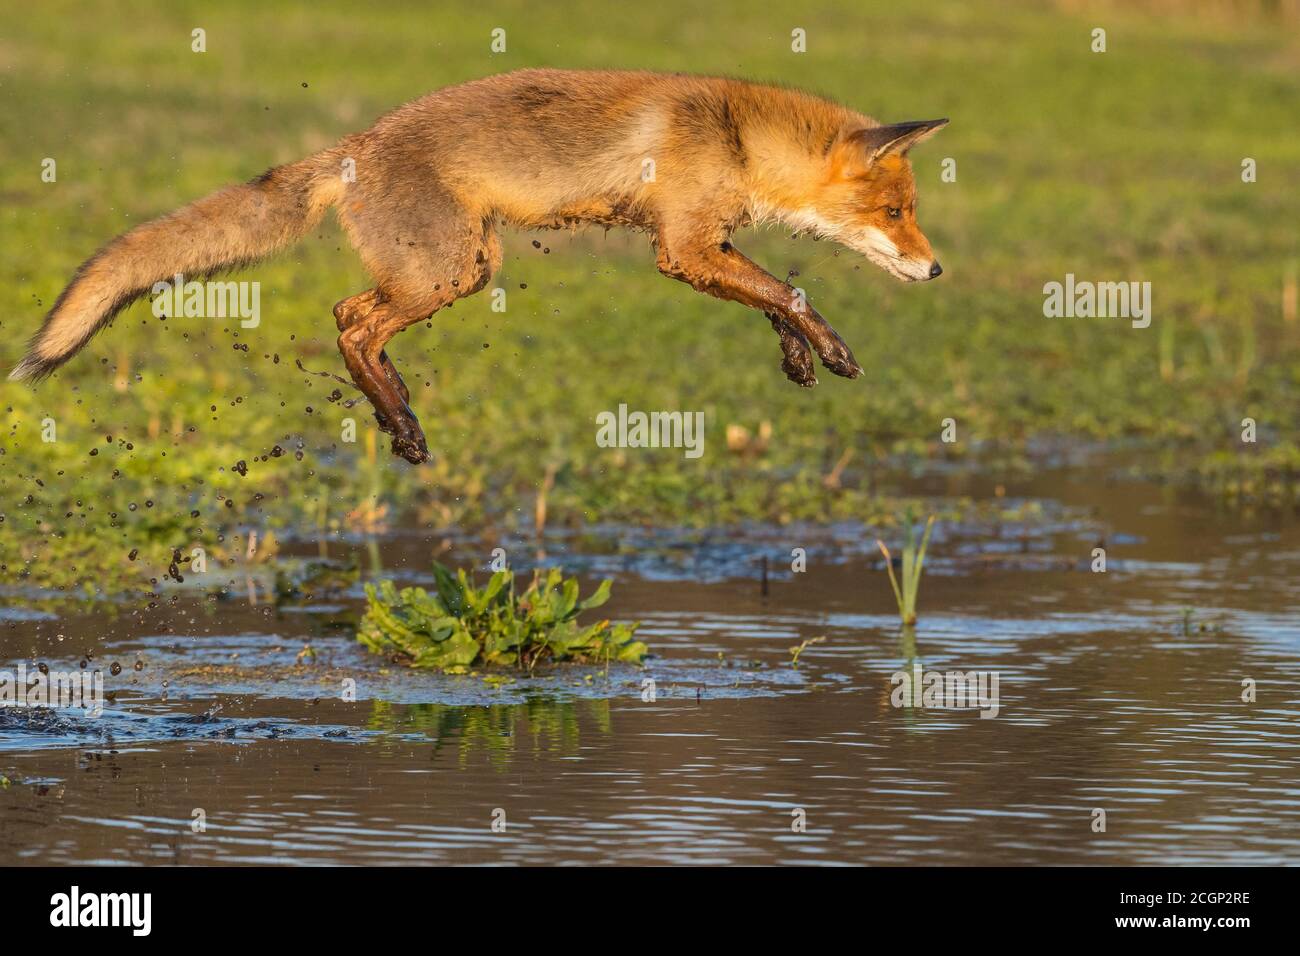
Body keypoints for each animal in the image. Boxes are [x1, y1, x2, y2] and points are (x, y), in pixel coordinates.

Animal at [7, 67, 946, 463]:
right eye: (897, 214)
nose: (936, 272)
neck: (737, 137)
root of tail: (353, 145)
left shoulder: (697, 245)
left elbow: (774, 294)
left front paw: (798, 357)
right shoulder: (680, 246)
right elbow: (789, 290)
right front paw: (830, 348)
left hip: (468, 265)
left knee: (354, 320)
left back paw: (394, 415)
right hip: (447, 271)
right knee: (350, 323)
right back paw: (402, 422)